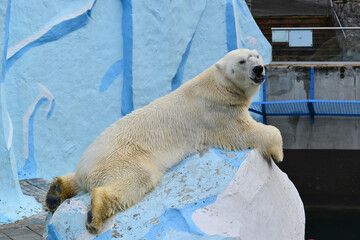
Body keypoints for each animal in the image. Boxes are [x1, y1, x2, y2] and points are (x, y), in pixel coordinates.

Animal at [45, 47, 282, 233]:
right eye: (242, 61)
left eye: (256, 55)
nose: (258, 69)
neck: (218, 85)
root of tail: (85, 168)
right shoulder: (218, 111)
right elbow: (244, 132)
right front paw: (278, 152)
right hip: (119, 158)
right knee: (139, 177)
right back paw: (94, 214)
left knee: (77, 180)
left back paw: (56, 193)